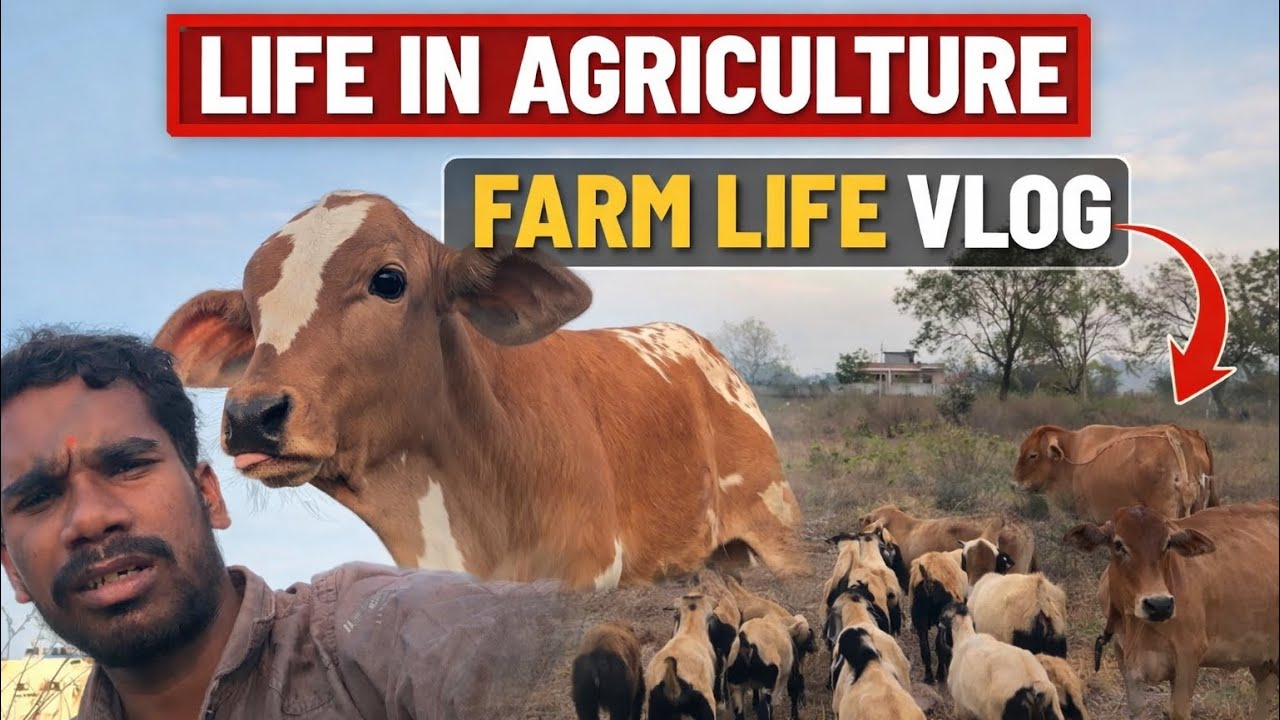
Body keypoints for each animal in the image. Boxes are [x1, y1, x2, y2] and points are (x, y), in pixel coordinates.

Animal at [1063, 499, 1279, 720]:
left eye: (1167, 544)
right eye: (1119, 545)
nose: (1159, 605)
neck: (1138, 628)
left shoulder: (1188, 655)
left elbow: (1178, 711)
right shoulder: (1124, 656)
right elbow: (1137, 707)